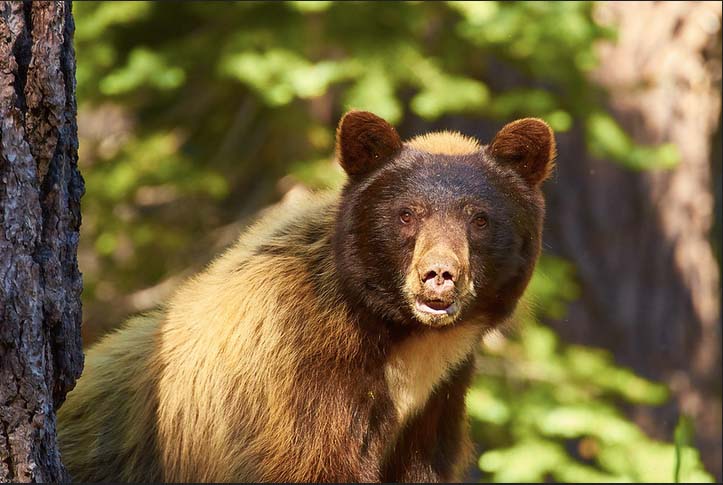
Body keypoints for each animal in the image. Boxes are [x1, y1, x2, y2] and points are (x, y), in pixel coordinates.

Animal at [57, 110, 556, 483]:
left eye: (480, 218)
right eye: (407, 214)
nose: (439, 275)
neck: (403, 344)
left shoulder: (437, 404)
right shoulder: (296, 382)